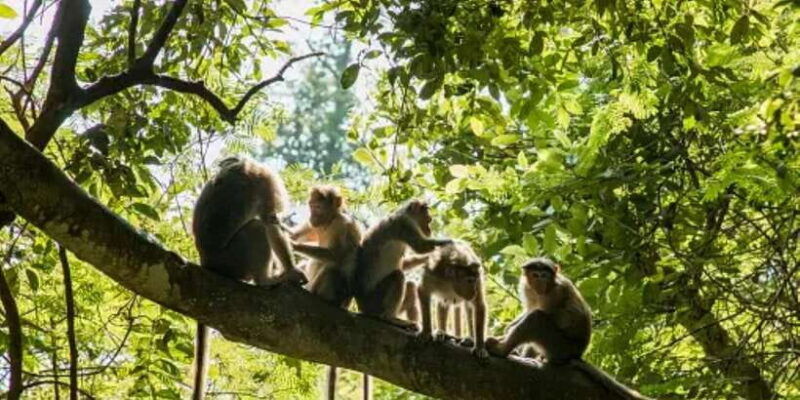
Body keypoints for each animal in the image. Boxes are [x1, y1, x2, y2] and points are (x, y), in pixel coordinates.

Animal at [190, 157, 307, 400]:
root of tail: (206, 261)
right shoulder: (267, 181)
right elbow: (271, 221)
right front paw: (292, 270)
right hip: (233, 259)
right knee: (256, 229)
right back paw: (266, 280)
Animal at [354, 200, 453, 329]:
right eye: (428, 219)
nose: (429, 229)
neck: (405, 213)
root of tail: (362, 308)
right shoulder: (404, 224)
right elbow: (421, 246)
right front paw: (448, 242)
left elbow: (404, 263)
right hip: (374, 302)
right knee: (397, 276)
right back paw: (389, 318)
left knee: (410, 286)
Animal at [485, 257, 652, 400]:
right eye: (535, 275)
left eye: (544, 275)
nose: (540, 281)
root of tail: (577, 354)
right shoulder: (527, 288)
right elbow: (529, 309)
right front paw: (507, 329)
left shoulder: (556, 293)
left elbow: (550, 315)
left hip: (560, 347)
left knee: (537, 319)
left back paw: (502, 350)